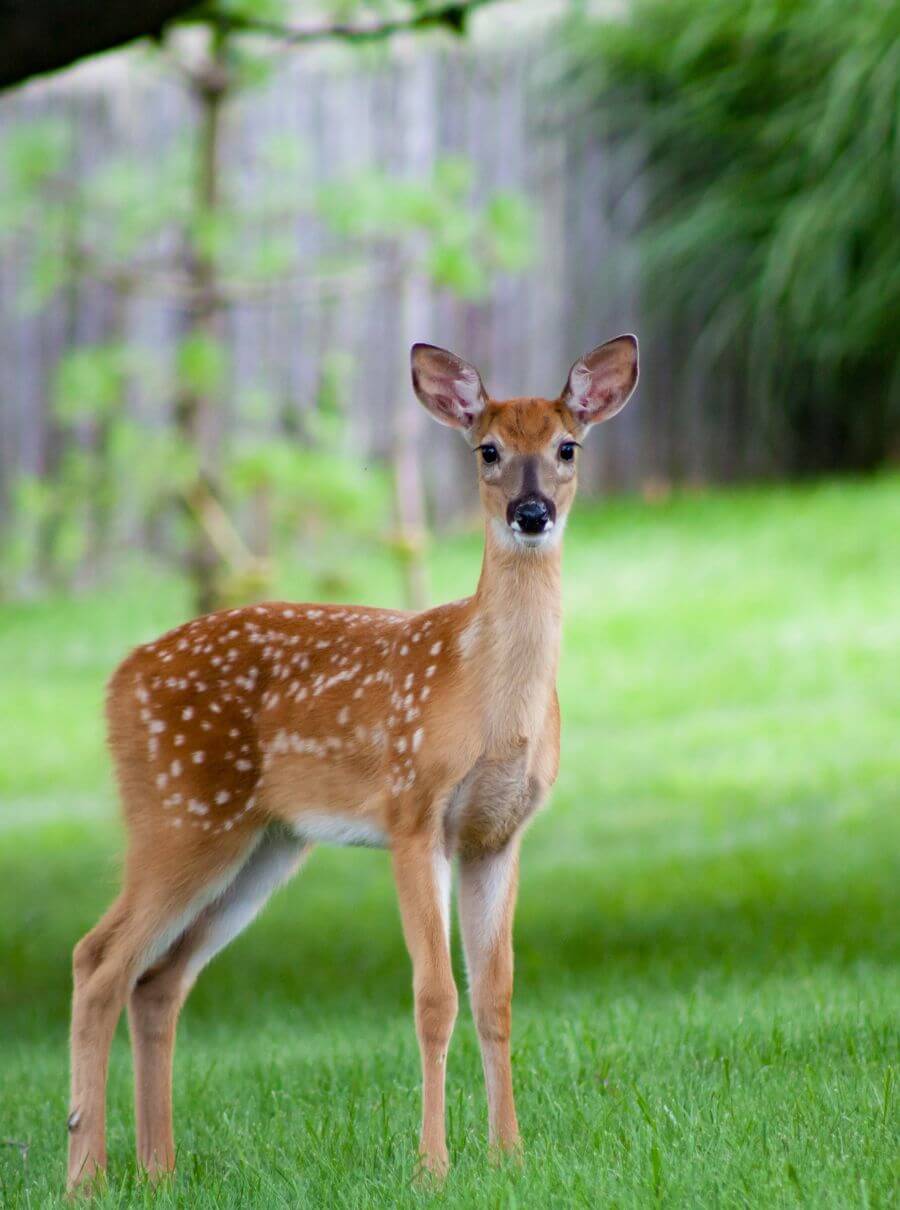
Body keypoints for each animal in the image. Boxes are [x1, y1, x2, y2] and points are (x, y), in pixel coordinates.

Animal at [66, 331, 638, 1190]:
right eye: (488, 450)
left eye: (567, 447)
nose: (530, 513)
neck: (487, 696)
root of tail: (117, 680)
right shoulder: (413, 813)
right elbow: (434, 996)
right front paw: (433, 1164)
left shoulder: (498, 836)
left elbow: (496, 995)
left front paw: (509, 1155)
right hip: (178, 813)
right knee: (98, 959)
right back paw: (88, 1174)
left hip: (262, 846)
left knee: (159, 979)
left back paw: (158, 1170)